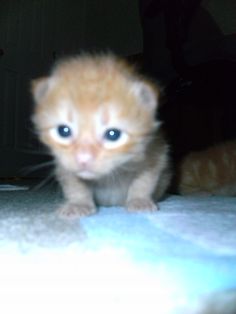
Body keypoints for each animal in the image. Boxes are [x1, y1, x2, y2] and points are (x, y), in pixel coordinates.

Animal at [31, 54, 171, 217]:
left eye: (113, 134)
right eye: (63, 131)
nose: (83, 159)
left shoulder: (156, 154)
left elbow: (143, 182)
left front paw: (139, 201)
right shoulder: (63, 164)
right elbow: (75, 185)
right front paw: (78, 204)